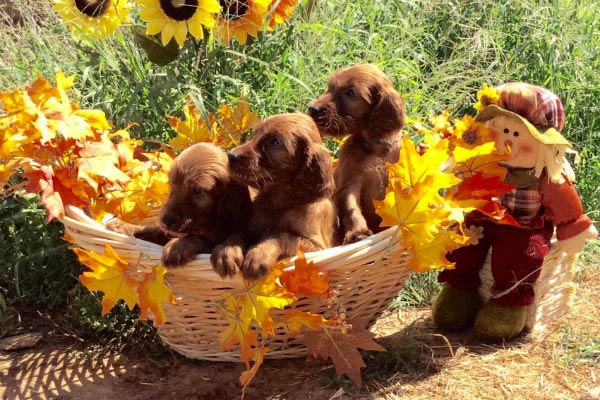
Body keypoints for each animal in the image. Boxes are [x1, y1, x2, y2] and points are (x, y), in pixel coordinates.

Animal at [105, 142, 251, 270]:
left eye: (198, 191)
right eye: (172, 184)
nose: (166, 220)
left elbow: (202, 238)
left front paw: (177, 247)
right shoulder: (168, 231)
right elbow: (151, 230)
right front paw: (121, 226)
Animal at [212, 112, 338, 282]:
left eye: (275, 142)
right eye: (254, 134)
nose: (231, 156)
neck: (279, 203)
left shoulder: (319, 247)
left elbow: (282, 235)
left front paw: (259, 255)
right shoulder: (252, 227)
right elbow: (239, 233)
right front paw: (226, 251)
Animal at [308, 63, 406, 244]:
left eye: (351, 93)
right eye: (330, 87)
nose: (312, 108)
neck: (376, 147)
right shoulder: (350, 184)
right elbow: (352, 209)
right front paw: (357, 233)